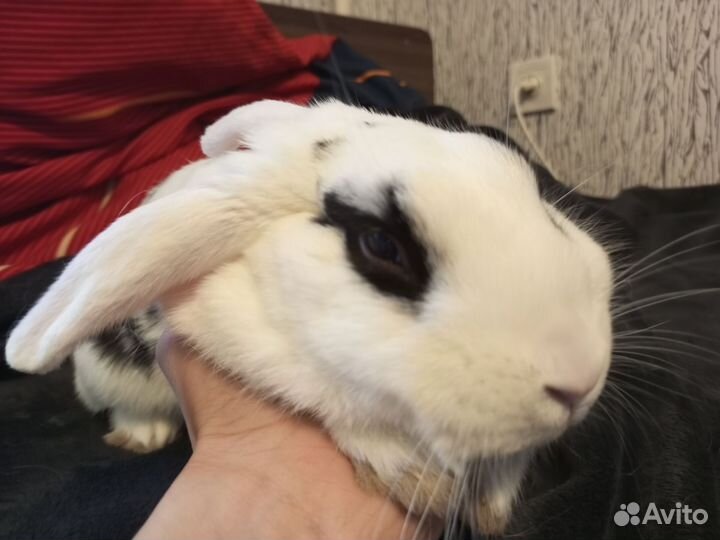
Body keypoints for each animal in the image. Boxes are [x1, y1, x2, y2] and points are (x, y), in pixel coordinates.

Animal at [5, 99, 614, 535]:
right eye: (381, 245)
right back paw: (142, 436)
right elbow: (337, 407)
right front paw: (414, 474)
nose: (580, 382)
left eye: (528, 187)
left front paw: (493, 493)